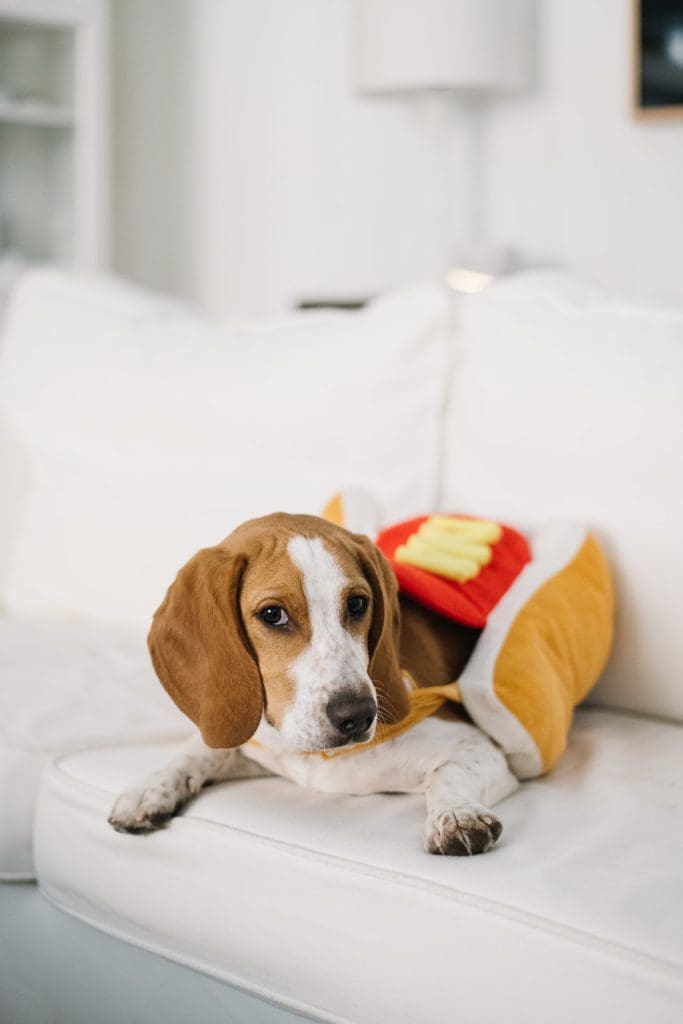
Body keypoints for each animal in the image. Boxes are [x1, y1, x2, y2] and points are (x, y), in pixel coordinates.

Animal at [111, 512, 518, 856]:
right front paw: (150, 787)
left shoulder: (479, 747)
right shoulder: (262, 747)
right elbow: (200, 750)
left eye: (357, 604)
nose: (358, 714)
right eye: (272, 614)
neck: (314, 757)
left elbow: (449, 772)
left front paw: (457, 814)